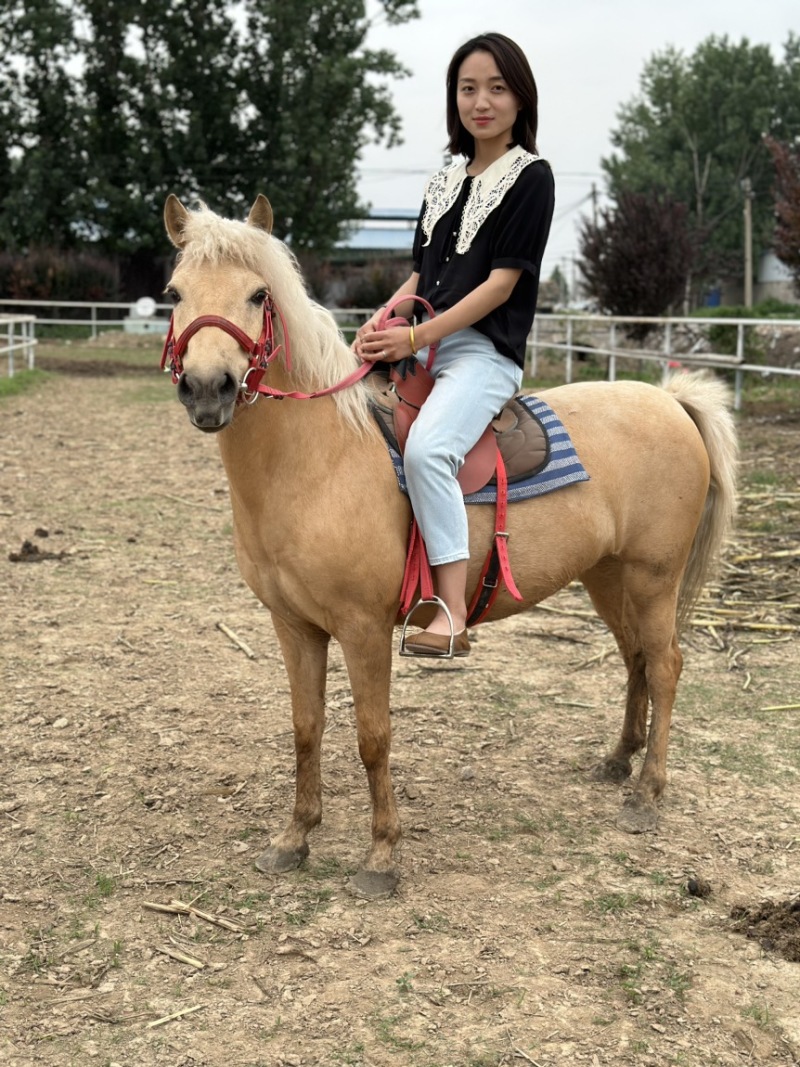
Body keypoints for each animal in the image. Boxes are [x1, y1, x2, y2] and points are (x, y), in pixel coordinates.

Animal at [161, 194, 737, 898]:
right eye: (175, 292)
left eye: (258, 294)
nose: (207, 387)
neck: (319, 457)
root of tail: (671, 402)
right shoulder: (293, 627)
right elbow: (305, 728)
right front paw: (294, 838)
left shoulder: (363, 629)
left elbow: (372, 736)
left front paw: (381, 855)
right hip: (607, 577)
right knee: (635, 660)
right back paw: (617, 762)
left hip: (655, 579)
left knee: (665, 666)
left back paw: (647, 796)